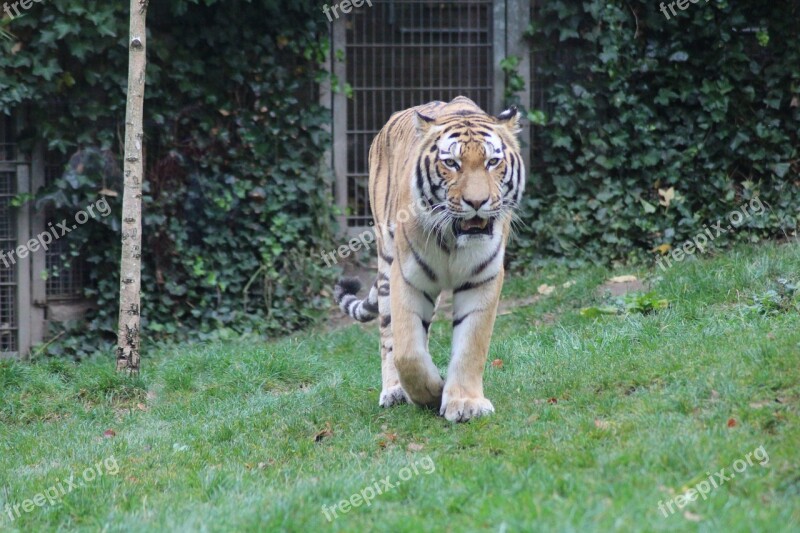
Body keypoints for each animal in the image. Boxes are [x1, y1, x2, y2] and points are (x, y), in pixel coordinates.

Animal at [332, 94, 524, 420]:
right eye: (451, 163)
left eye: (492, 162)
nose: (477, 202)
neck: (453, 241)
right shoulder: (408, 277)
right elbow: (408, 351)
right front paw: (431, 392)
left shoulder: (482, 279)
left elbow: (471, 345)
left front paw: (465, 403)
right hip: (386, 264)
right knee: (388, 337)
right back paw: (394, 391)